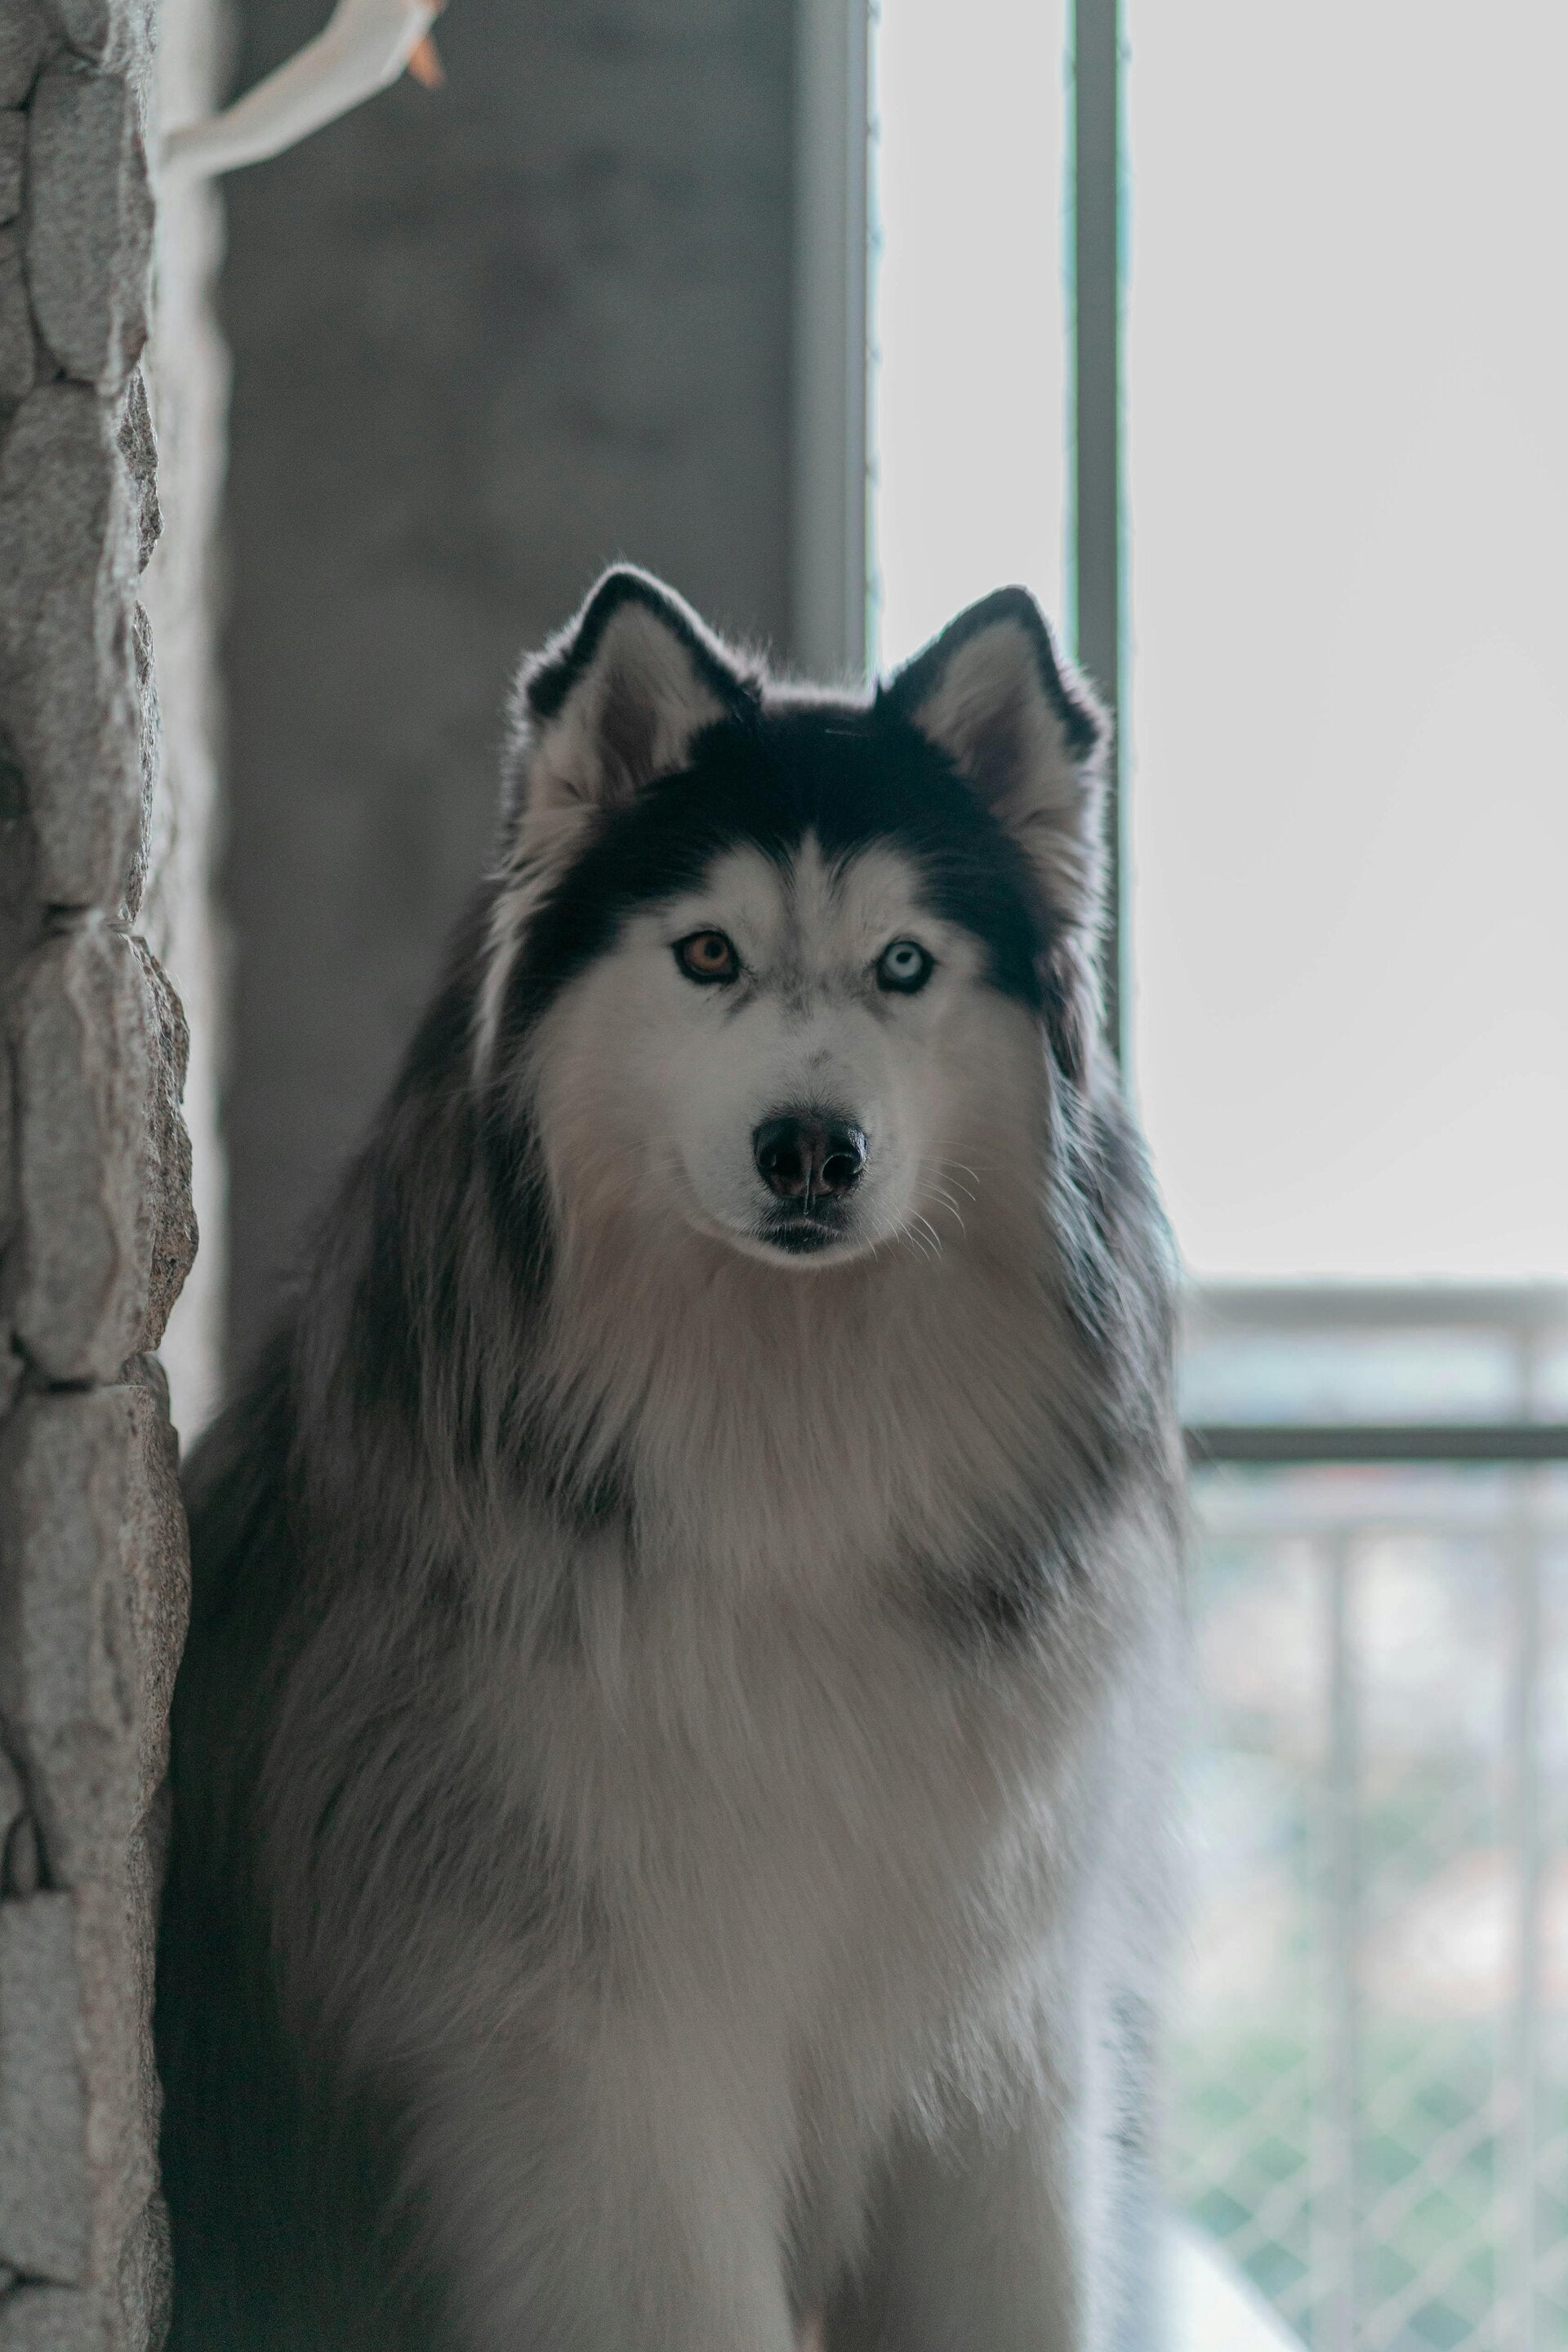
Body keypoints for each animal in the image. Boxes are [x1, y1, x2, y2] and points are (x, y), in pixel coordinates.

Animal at [155, 567, 1183, 2352]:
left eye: (903, 963)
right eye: (707, 954)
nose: (811, 1150)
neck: (795, 1443)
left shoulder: (988, 2040)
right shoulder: (604, 2056)